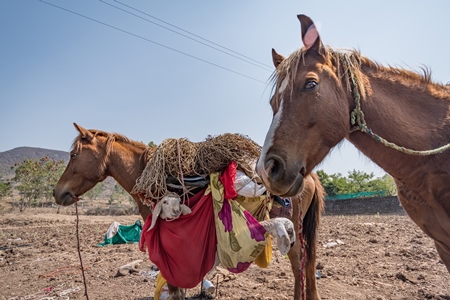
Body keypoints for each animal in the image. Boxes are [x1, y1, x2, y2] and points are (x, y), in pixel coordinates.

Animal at [53, 122, 324, 300]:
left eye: (74, 154)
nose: (57, 192)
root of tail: (309, 175)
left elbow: (173, 285)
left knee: (299, 266)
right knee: (308, 265)